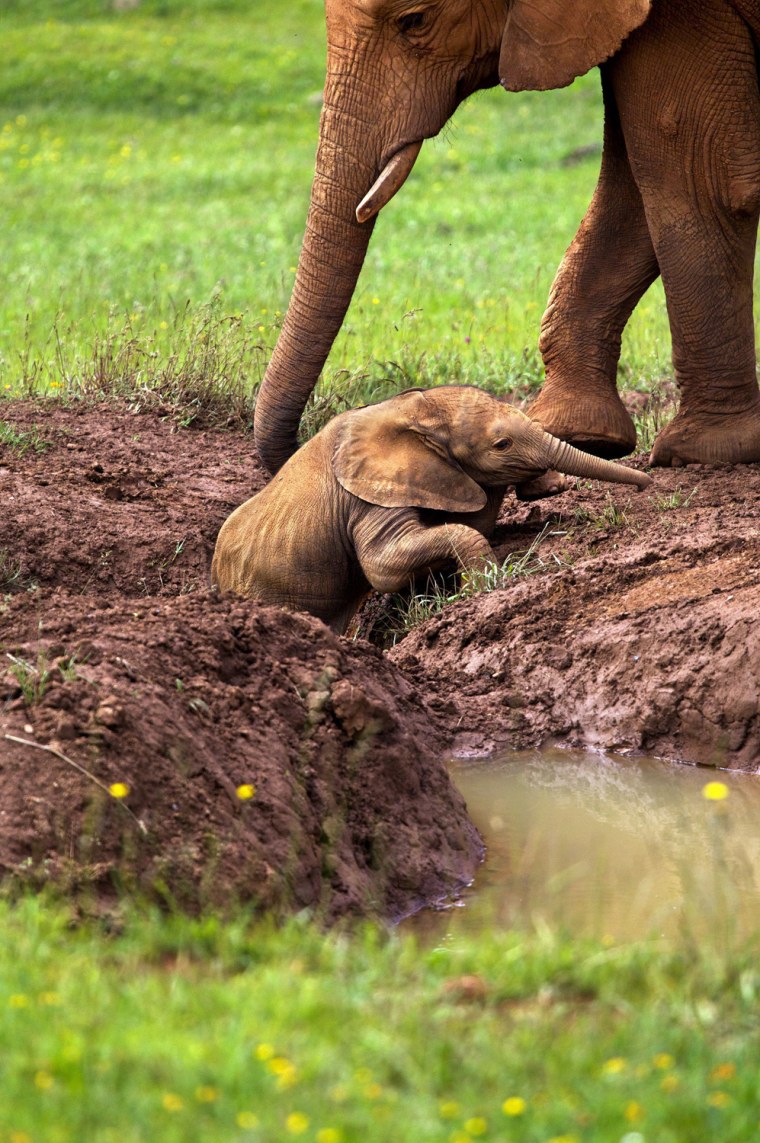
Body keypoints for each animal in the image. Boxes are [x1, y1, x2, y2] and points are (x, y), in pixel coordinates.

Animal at [214, 386, 652, 634]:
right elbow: (383, 567)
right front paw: (480, 588)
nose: (648, 483)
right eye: (502, 444)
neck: (412, 411)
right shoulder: (368, 496)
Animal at [253, 0, 760, 477]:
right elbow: (633, 200)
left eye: (414, 21)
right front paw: (576, 434)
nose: (305, 444)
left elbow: (700, 183)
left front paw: (707, 452)